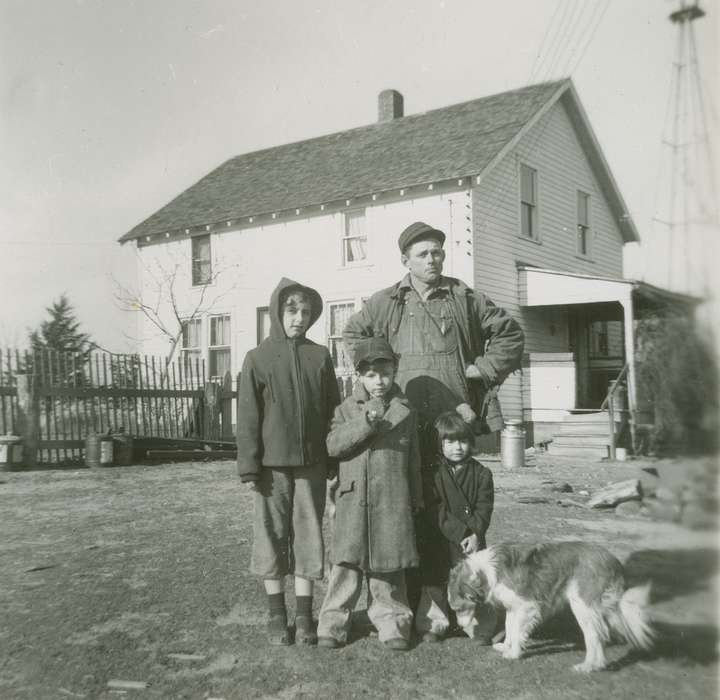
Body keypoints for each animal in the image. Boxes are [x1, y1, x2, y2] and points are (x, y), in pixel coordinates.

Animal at [448, 540, 656, 672]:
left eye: (459, 609)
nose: (458, 627)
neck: (485, 571)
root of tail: (613, 560)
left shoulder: (527, 606)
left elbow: (516, 631)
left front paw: (514, 653)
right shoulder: (513, 607)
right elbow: (510, 627)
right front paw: (506, 647)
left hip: (583, 606)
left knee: (594, 636)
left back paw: (589, 666)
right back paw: (599, 664)